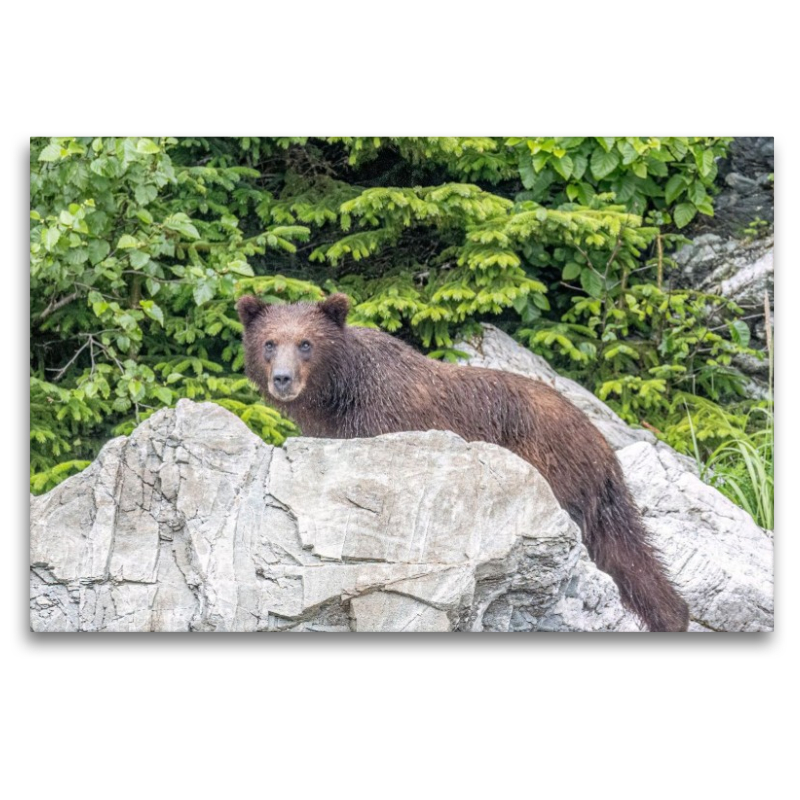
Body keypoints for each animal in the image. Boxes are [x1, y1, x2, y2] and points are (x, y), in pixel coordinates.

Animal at [237, 292, 690, 632]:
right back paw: (673, 615)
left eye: (306, 343)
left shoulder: (382, 422)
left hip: (552, 469)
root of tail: (603, 446)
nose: (282, 379)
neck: (339, 394)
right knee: (628, 556)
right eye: (269, 343)